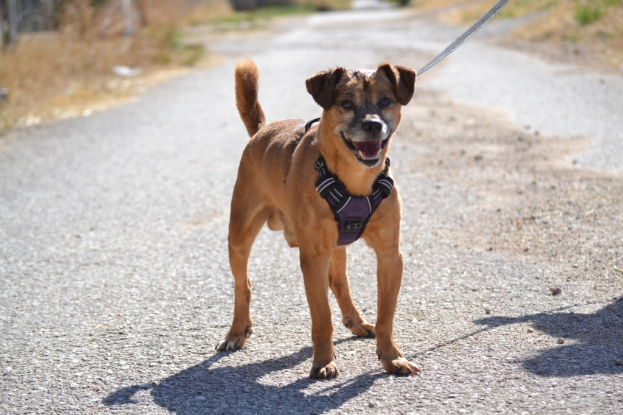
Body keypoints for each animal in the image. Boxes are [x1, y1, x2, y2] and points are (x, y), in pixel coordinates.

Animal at [216, 59, 420, 379]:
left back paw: (356, 322)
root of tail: (262, 130)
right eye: (346, 103)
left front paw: (392, 357)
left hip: (336, 246)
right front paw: (324, 361)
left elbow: (386, 316)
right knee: (243, 284)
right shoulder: (313, 258)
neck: (355, 179)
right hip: (239, 234)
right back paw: (237, 332)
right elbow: (322, 317)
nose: (373, 125)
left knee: (339, 283)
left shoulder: (390, 256)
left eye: (386, 100)